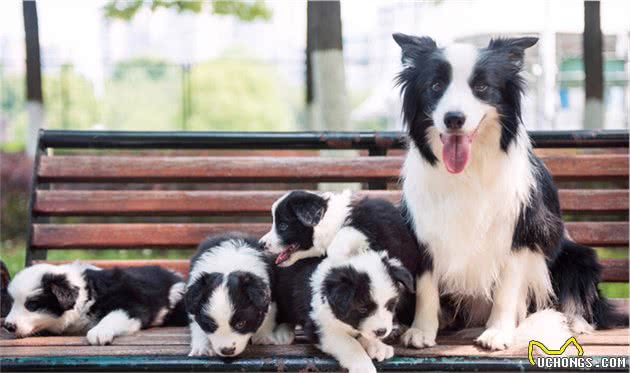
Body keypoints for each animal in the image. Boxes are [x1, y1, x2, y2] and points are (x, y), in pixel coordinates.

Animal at [3, 262, 188, 342]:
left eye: (32, 305)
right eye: (11, 303)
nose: (8, 326)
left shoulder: (130, 303)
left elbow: (113, 316)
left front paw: (99, 332)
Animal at [276, 248, 414, 372]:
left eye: (390, 305)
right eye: (362, 308)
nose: (382, 331)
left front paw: (377, 346)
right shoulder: (319, 328)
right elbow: (350, 343)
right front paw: (363, 365)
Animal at [396, 33, 628, 350]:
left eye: (482, 87)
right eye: (435, 86)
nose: (454, 118)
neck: (469, 171)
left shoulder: (521, 232)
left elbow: (506, 289)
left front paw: (498, 331)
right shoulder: (424, 230)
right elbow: (426, 286)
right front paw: (421, 330)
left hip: (578, 257)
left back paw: (570, 323)